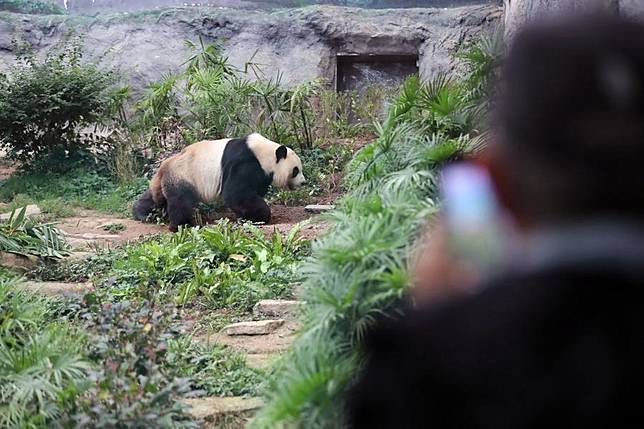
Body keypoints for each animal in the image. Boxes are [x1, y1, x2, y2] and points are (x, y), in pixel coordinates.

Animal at [131, 133, 306, 231]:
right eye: (296, 170)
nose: (303, 183)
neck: (265, 153)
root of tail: (163, 168)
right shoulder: (246, 163)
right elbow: (236, 193)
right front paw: (259, 216)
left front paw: (245, 216)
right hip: (183, 176)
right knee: (181, 202)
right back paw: (181, 225)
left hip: (165, 182)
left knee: (154, 199)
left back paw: (143, 214)